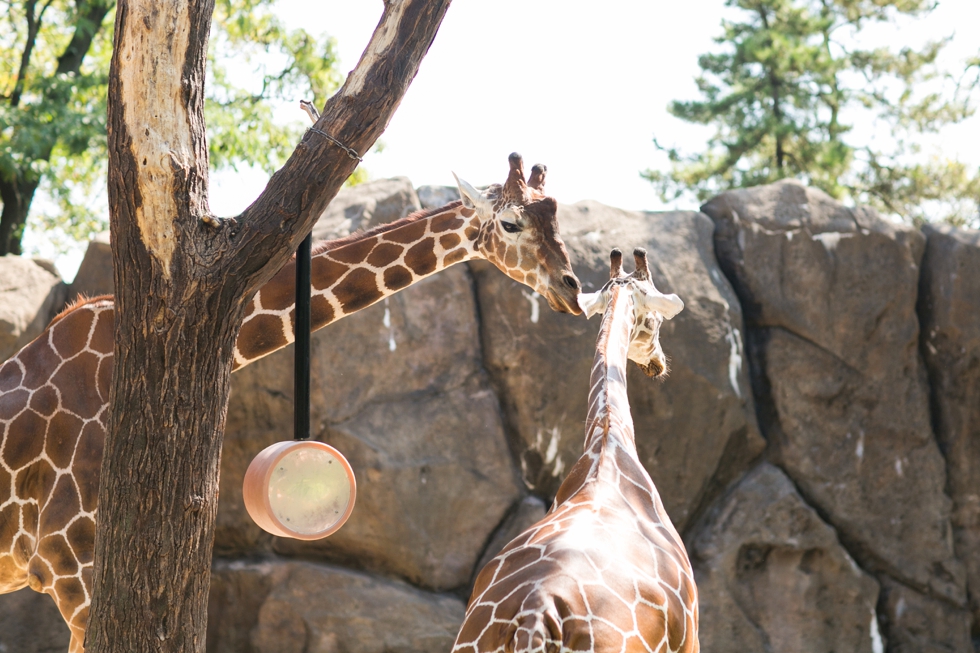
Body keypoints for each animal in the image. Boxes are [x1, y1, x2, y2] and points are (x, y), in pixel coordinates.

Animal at [452, 247, 696, 652]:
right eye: (656, 320)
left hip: (466, 640)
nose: (658, 364)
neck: (607, 442)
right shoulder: (691, 636)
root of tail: (534, 616)